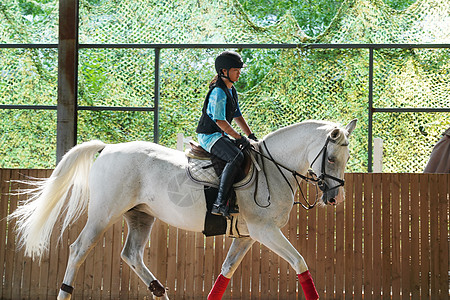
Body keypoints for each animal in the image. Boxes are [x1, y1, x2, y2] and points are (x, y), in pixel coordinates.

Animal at [8, 118, 356, 298]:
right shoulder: (265, 231)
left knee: (131, 255)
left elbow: (225, 272)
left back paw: (159, 290)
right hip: (103, 214)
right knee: (79, 248)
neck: (273, 168)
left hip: (141, 216)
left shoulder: (246, 237)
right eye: (332, 158)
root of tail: (108, 148)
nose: (335, 198)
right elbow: (300, 263)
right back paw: (66, 291)